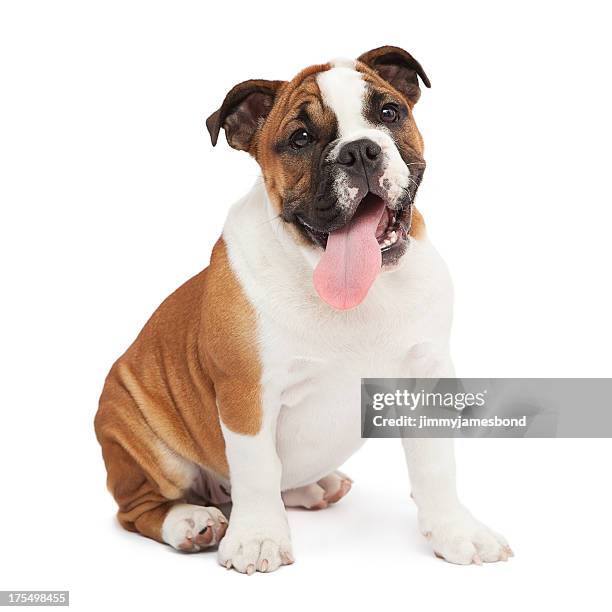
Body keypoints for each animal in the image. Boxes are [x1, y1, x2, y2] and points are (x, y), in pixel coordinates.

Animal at [94, 44, 512, 572]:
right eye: (300, 139)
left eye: (388, 113)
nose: (360, 150)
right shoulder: (246, 392)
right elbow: (256, 468)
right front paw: (258, 539)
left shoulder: (426, 375)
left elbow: (436, 465)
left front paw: (457, 531)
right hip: (138, 435)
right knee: (138, 509)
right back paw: (190, 522)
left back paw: (314, 487)